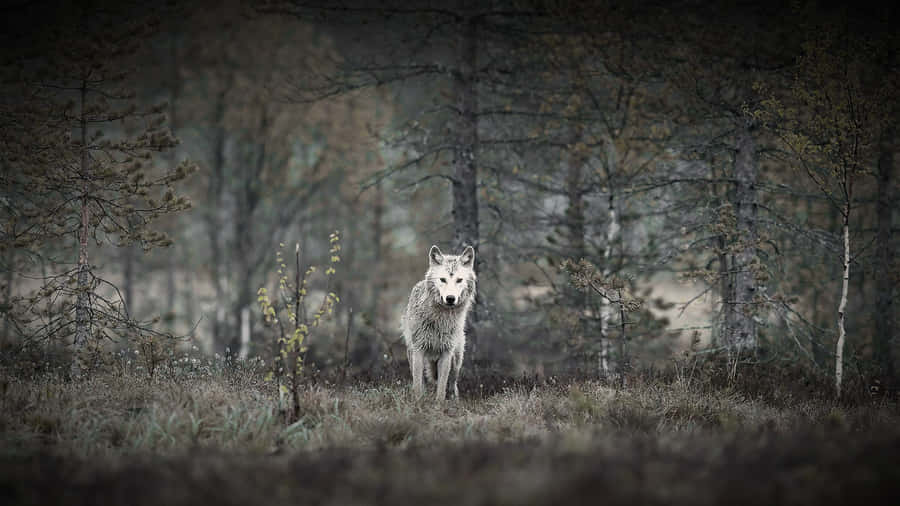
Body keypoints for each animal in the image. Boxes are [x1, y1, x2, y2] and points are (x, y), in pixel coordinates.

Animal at [402, 245, 476, 401]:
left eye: (459, 280)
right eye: (443, 279)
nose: (450, 298)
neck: (440, 320)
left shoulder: (446, 353)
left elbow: (441, 387)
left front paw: (439, 404)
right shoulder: (419, 350)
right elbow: (418, 385)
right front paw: (417, 402)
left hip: (456, 360)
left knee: (452, 383)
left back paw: (454, 400)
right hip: (412, 354)